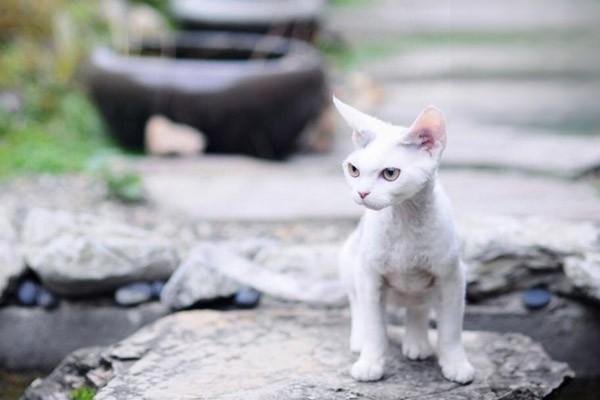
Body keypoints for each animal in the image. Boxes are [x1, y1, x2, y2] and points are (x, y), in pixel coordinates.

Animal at [332, 96, 474, 384]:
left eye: (390, 174)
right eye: (354, 170)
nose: (362, 193)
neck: (405, 219)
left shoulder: (453, 278)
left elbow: (451, 330)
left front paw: (455, 363)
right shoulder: (370, 277)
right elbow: (375, 328)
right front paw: (371, 362)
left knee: (417, 306)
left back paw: (417, 343)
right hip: (350, 262)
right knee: (357, 303)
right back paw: (360, 340)